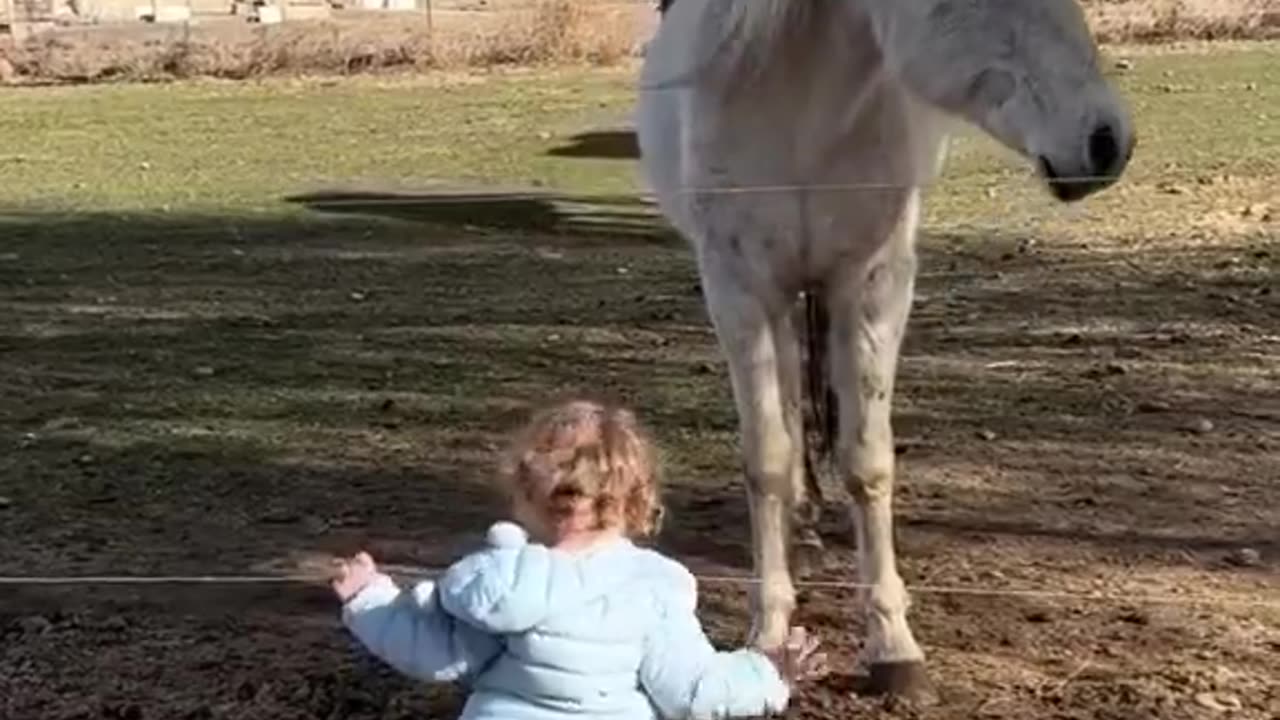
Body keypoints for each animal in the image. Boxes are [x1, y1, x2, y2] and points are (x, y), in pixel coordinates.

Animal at [634, 0, 1136, 696]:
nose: (1107, 141)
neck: (800, 104)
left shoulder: (874, 285)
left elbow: (868, 460)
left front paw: (893, 645)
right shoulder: (739, 289)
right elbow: (768, 458)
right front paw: (769, 631)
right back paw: (802, 532)